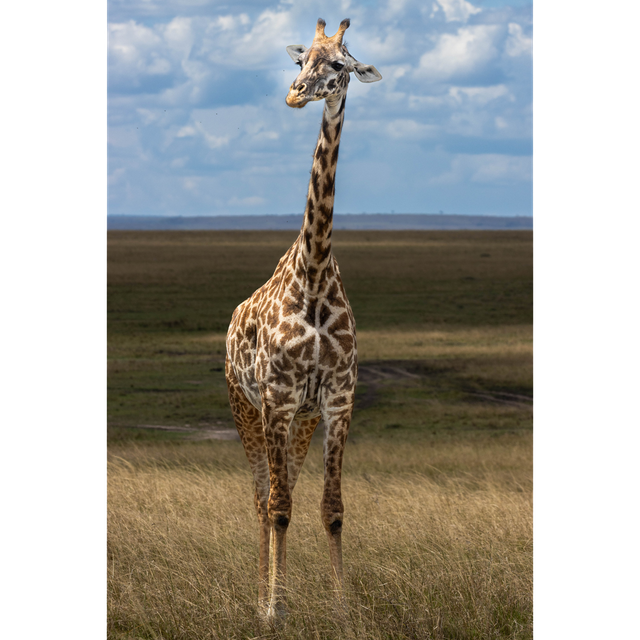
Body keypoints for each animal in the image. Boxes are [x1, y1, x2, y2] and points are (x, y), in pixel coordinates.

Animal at [225, 18, 381, 620]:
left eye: (338, 64)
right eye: (299, 61)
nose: (294, 94)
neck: (313, 273)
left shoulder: (335, 401)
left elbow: (331, 508)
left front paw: (342, 608)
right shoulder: (276, 399)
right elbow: (278, 507)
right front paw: (275, 609)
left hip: (300, 421)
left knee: (282, 486)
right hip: (245, 407)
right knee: (261, 496)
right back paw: (259, 594)